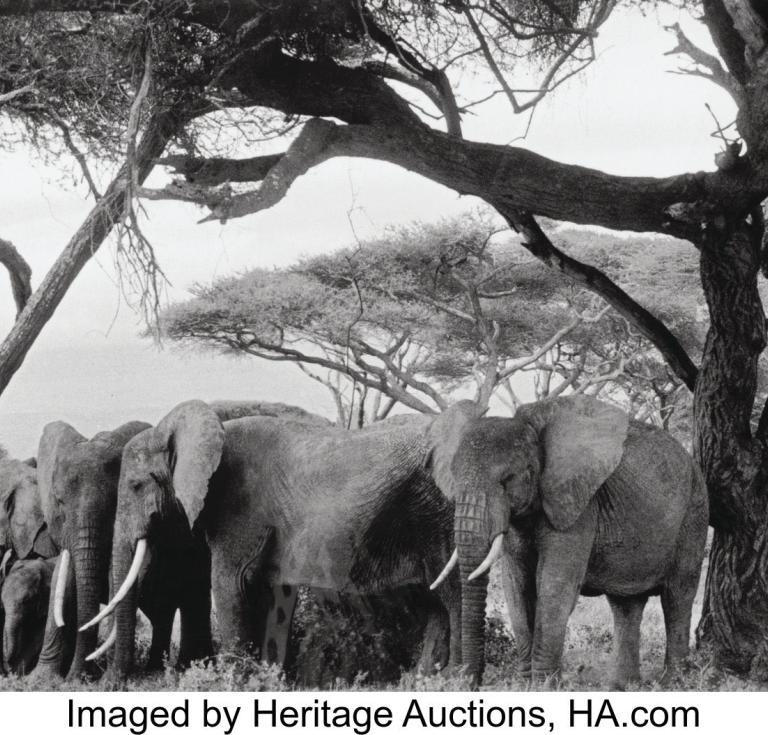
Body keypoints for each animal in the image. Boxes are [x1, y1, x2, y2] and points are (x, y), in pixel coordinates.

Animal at [85, 399, 469, 681]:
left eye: (137, 485)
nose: (112, 683)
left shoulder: (238, 505)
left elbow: (230, 585)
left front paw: (234, 682)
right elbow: (255, 591)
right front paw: (260, 678)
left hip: (438, 514)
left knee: (452, 596)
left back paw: (453, 678)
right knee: (437, 601)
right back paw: (425, 679)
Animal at [429, 395, 708, 688]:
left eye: (508, 479)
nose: (467, 681)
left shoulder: (578, 504)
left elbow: (554, 585)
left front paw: (544, 686)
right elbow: (517, 585)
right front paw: (524, 685)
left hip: (695, 512)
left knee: (678, 595)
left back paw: (674, 682)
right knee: (626, 604)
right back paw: (623, 687)